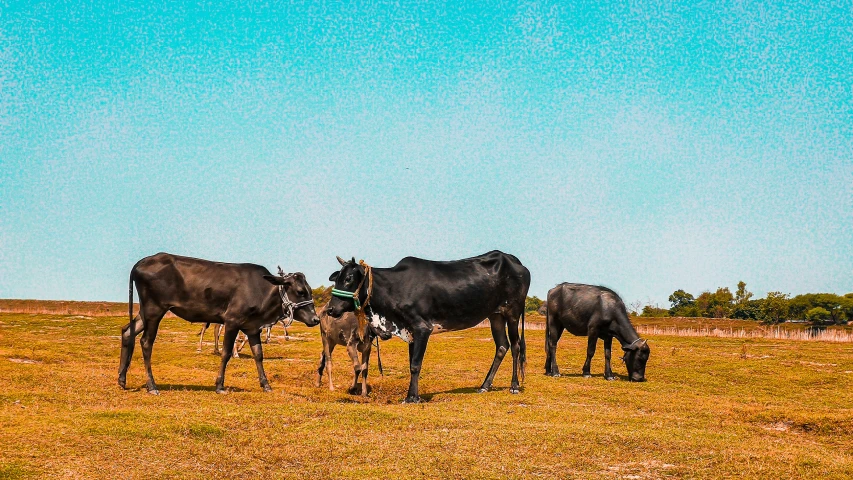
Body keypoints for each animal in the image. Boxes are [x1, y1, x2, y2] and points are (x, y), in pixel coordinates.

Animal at [117, 251, 320, 394]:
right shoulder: (232, 321)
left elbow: (258, 354)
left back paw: (122, 379)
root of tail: (142, 262)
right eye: (300, 291)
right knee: (146, 342)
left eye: (310, 290)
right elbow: (226, 353)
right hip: (154, 310)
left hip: (145, 312)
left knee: (127, 332)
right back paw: (152, 386)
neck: (262, 291)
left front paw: (266, 385)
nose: (316, 319)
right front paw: (220, 385)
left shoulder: (253, 328)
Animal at [324, 249, 528, 404]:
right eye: (336, 279)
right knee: (502, 346)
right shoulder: (410, 332)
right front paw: (412, 394)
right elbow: (410, 365)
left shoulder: (422, 328)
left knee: (516, 346)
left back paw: (514, 386)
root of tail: (510, 258)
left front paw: (412, 397)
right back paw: (485, 386)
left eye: (349, 278)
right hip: (495, 315)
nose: (331, 309)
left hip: (513, 312)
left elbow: (415, 364)